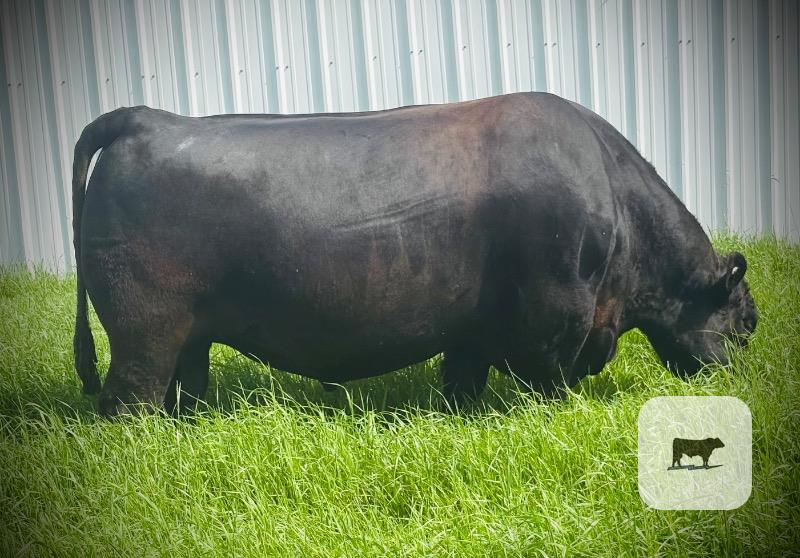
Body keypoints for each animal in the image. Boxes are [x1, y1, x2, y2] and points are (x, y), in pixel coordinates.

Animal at [71, 92, 758, 416]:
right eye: (745, 324)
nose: (737, 382)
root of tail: (147, 118)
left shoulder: (471, 332)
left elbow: (463, 380)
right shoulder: (555, 318)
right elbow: (545, 384)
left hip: (189, 335)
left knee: (184, 387)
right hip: (144, 329)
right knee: (129, 399)